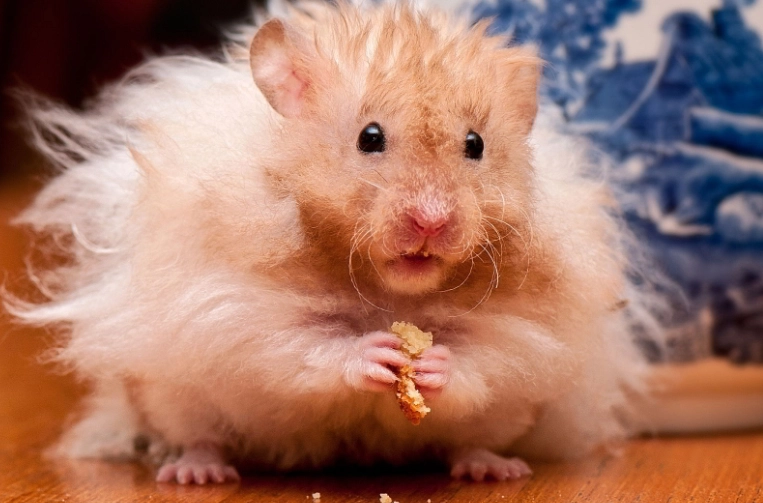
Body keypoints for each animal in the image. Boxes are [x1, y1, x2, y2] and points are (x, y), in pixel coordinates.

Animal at [6, 0, 656, 484]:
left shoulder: (530, 333)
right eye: (370, 137)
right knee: (199, 435)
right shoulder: (234, 310)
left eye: (474, 144)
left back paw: (495, 468)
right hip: (172, 394)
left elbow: (483, 356)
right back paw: (196, 472)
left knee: (470, 441)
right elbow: (300, 347)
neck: (387, 290)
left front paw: (432, 363)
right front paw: (377, 353)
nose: (431, 221)